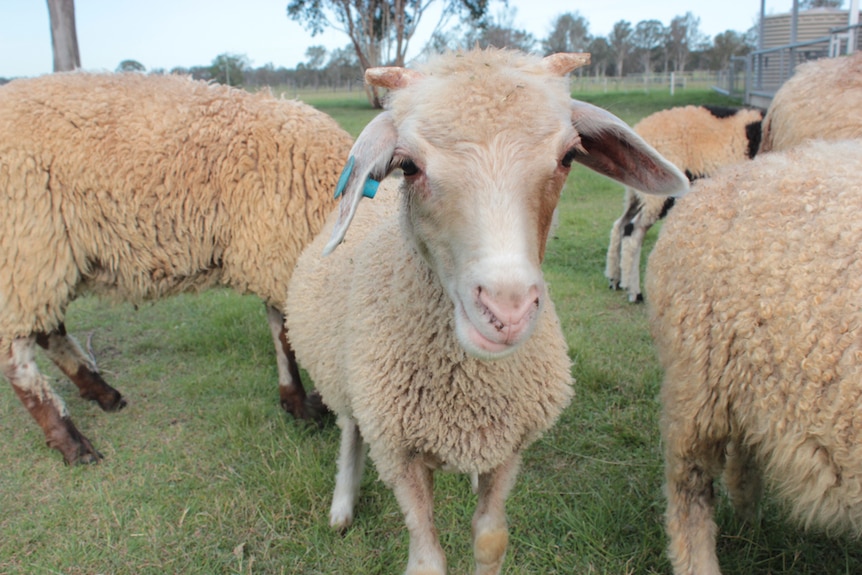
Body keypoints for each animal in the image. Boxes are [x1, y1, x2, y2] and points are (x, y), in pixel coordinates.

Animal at [0, 73, 354, 468]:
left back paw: (102, 393)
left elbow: (282, 333)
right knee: (18, 360)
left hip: (44, 259)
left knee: (48, 331)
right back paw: (72, 442)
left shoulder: (274, 254)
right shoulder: (281, 250)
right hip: (26, 248)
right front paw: (310, 404)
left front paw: (296, 403)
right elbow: (291, 335)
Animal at [286, 49, 692, 575]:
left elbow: (491, 539)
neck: (471, 386)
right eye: (408, 165)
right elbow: (427, 560)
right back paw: (342, 505)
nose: (508, 311)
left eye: (568, 157)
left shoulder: (508, 446)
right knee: (352, 429)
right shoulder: (400, 452)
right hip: (348, 380)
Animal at [604, 104, 768, 304]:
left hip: (637, 194)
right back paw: (634, 291)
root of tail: (639, 129)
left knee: (620, 224)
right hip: (659, 194)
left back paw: (615, 279)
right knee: (633, 231)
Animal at [648, 140, 862, 575]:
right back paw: (701, 562)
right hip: (699, 381)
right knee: (689, 485)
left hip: (755, 372)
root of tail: (718, 180)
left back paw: (749, 516)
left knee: (749, 442)